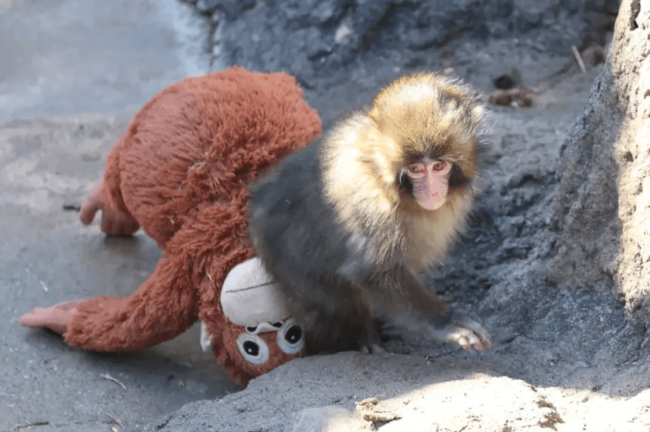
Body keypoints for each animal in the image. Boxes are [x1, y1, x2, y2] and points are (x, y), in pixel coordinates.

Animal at [247, 72, 493, 355]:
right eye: (416, 169)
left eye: (439, 166)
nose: (431, 192)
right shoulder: (374, 210)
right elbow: (373, 272)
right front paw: (446, 322)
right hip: (288, 262)